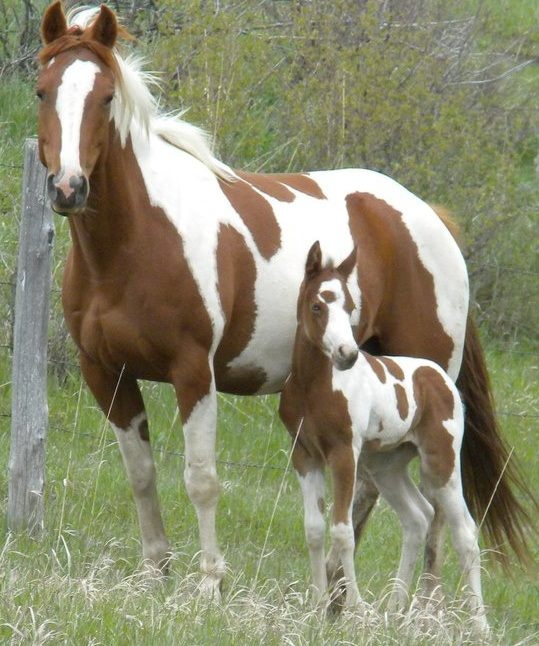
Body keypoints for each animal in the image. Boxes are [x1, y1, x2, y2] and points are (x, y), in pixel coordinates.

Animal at [279, 241, 489, 634]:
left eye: (350, 307)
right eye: (317, 306)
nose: (347, 355)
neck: (314, 386)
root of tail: (440, 378)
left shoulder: (343, 454)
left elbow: (343, 530)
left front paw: (354, 609)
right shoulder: (305, 454)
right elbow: (314, 529)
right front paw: (317, 606)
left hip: (440, 464)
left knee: (465, 533)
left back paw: (481, 626)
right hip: (387, 466)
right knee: (418, 518)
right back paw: (394, 609)